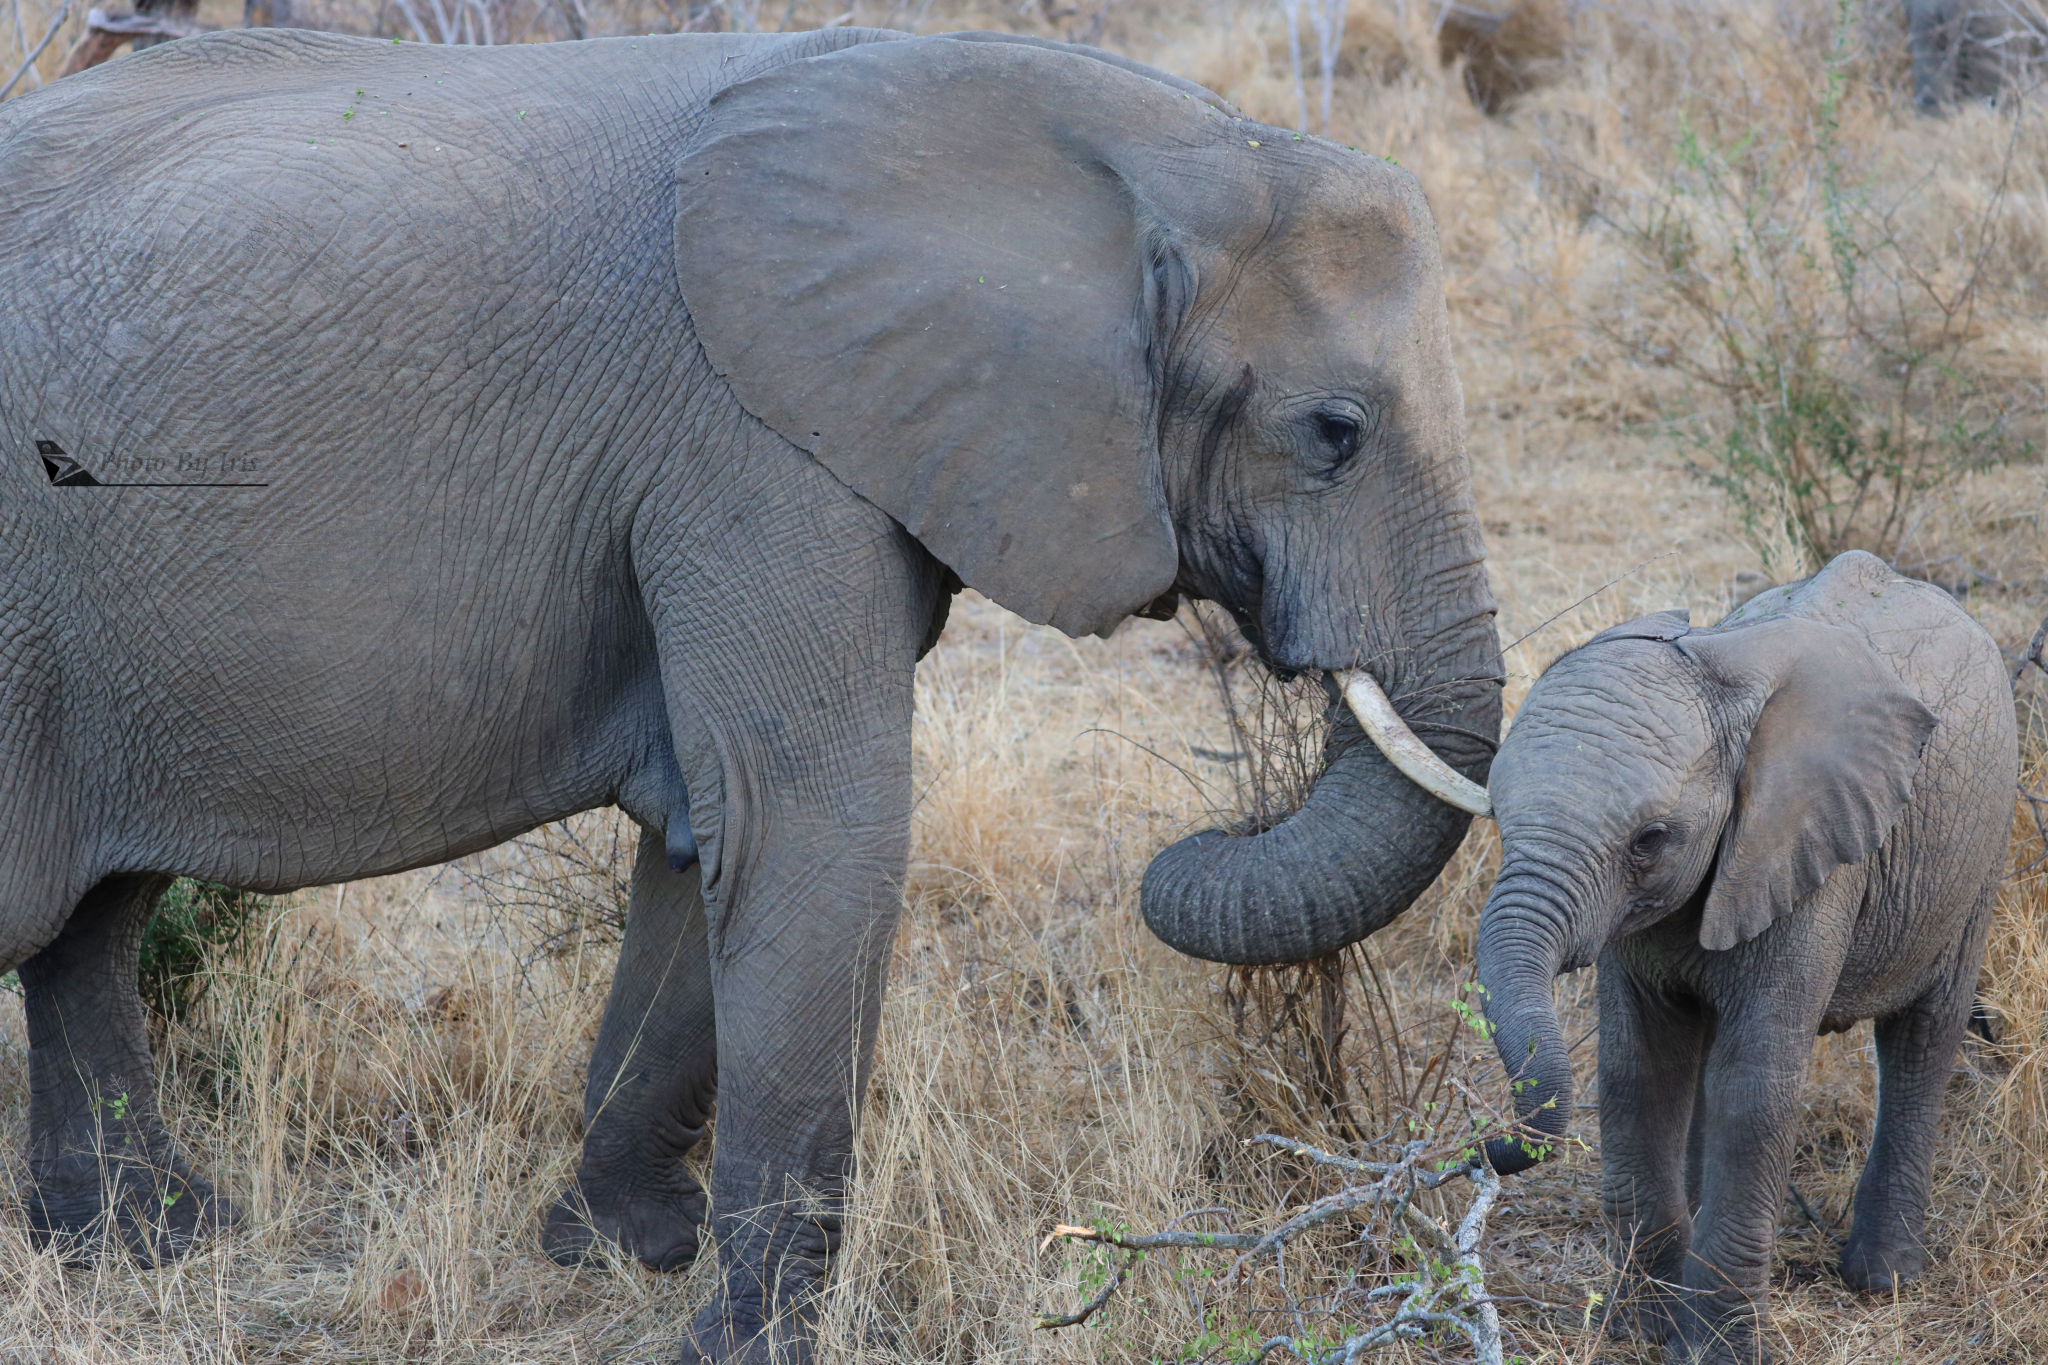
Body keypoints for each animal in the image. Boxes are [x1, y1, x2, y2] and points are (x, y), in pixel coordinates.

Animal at [4, 24, 1507, 1365]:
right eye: (1333, 434)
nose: (1186, 838)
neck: (1155, 147)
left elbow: (705, 830)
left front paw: (625, 1251)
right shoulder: (753, 442)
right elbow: (813, 821)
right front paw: (743, 1342)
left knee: (94, 916)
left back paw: (149, 1239)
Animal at [1474, 556, 2015, 1365]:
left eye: (1651, 839)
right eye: (1498, 818)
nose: (1488, 1147)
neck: (1716, 666)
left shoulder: (1810, 851)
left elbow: (1753, 1089)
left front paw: (1719, 1347)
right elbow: (1639, 1073)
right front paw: (1643, 1331)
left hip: (1980, 847)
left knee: (1924, 1032)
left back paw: (1882, 1278)